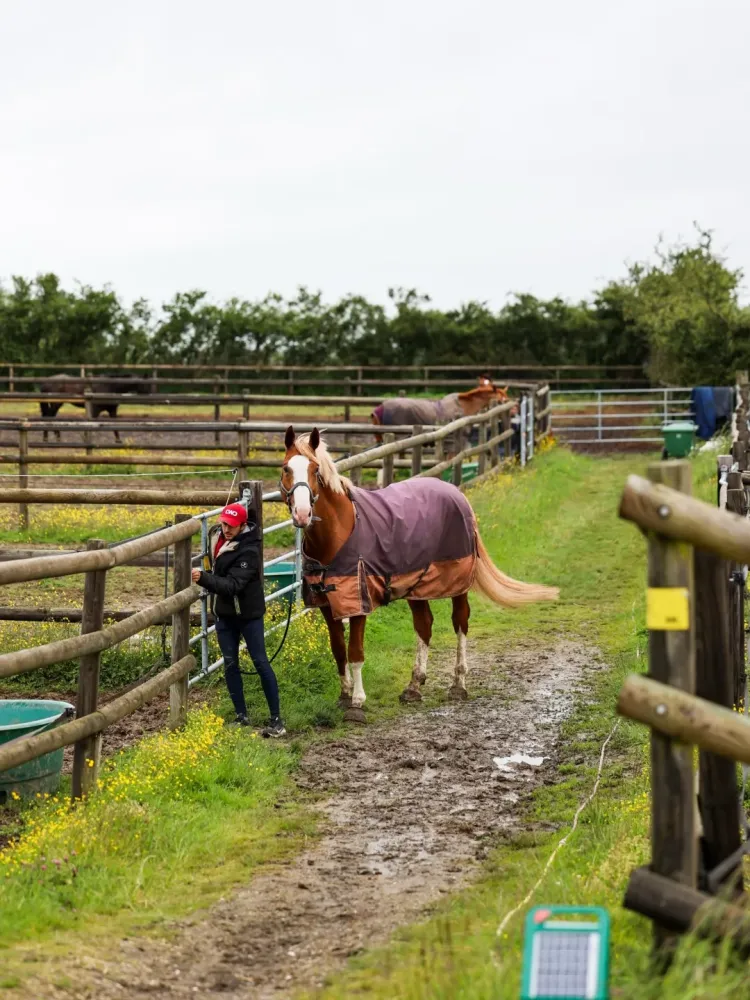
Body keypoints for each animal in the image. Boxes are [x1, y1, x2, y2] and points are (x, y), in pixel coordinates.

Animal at [280, 426, 559, 723]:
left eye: (315, 470)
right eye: (286, 468)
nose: (302, 513)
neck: (339, 532)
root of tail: (457, 494)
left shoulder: (358, 603)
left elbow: (355, 652)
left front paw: (357, 704)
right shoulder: (327, 604)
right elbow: (338, 650)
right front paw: (344, 696)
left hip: (457, 585)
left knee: (460, 622)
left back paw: (458, 685)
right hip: (417, 585)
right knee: (424, 626)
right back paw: (414, 686)